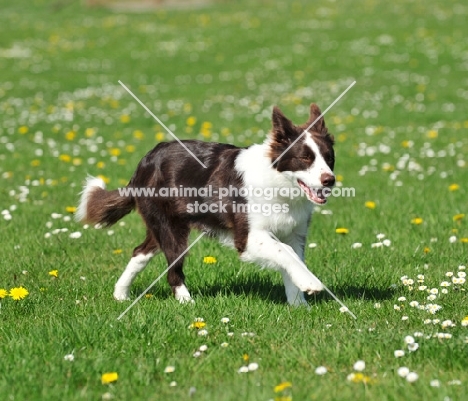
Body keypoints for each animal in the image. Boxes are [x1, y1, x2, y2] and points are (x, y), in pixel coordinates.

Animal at [75, 104, 334, 306]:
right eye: (305, 158)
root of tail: (145, 161)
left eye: (329, 158)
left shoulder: (295, 232)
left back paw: (120, 294)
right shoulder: (247, 237)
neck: (279, 184)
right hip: (171, 229)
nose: (330, 180)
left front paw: (299, 303)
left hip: (160, 226)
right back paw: (186, 302)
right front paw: (311, 283)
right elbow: (285, 252)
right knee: (173, 269)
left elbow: (291, 258)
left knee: (140, 252)